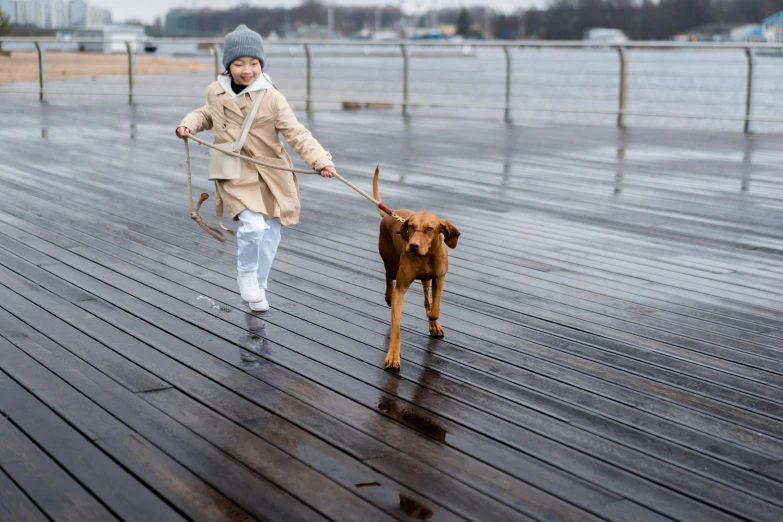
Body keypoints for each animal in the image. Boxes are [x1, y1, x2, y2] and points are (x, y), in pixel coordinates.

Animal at [374, 167, 460, 370]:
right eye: (411, 227)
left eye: (430, 229)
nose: (412, 246)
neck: (425, 257)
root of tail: (390, 213)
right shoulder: (401, 288)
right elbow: (396, 326)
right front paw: (393, 355)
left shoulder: (439, 278)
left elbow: (434, 309)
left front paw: (434, 322)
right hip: (391, 264)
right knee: (388, 278)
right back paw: (388, 297)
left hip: (426, 279)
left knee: (427, 296)